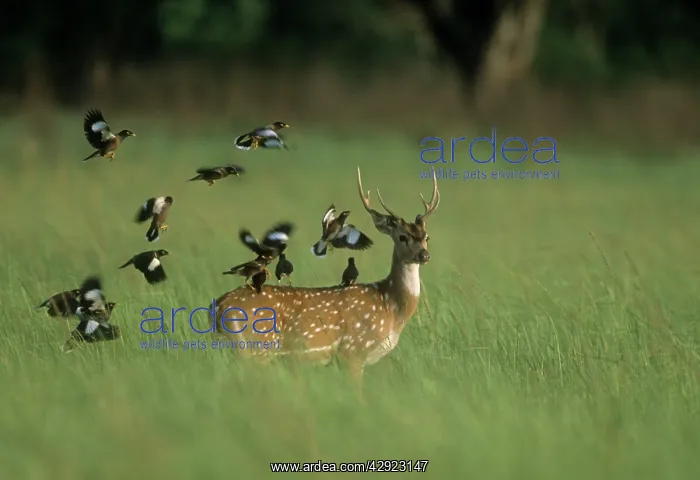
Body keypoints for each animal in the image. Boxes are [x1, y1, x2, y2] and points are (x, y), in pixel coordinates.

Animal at [211, 166, 440, 394]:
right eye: (402, 236)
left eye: (427, 237)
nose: (424, 255)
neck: (390, 306)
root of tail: (218, 307)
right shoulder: (353, 351)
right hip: (257, 348)